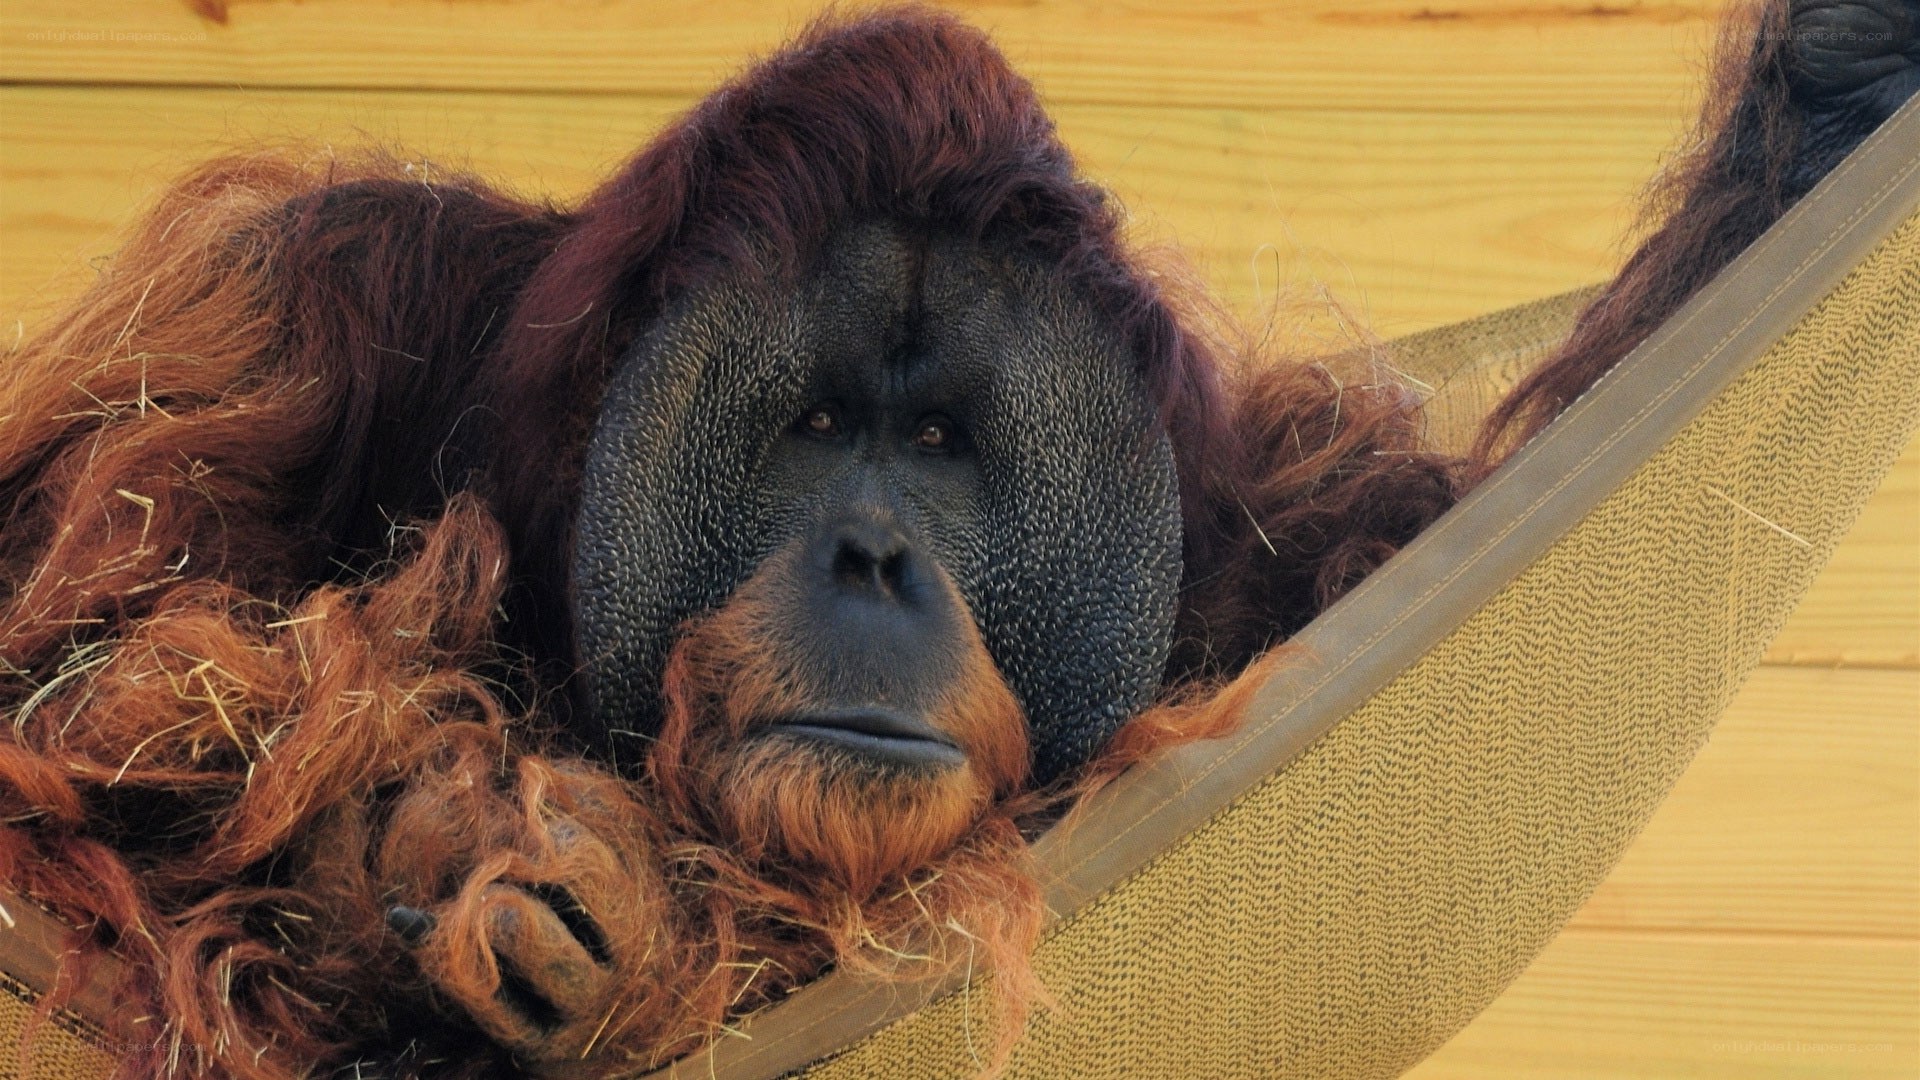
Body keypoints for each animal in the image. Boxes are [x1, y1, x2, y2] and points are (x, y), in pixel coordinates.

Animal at [0, 1, 1913, 1077]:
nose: (873, 557)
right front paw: (453, 850)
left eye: (935, 445)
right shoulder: (299, 309)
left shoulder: (1262, 523)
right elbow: (98, 695)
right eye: (817, 431)